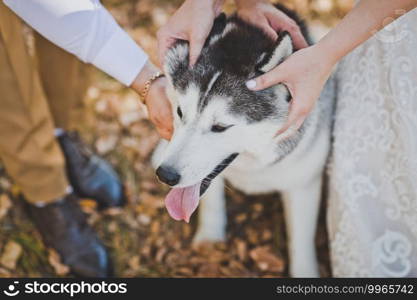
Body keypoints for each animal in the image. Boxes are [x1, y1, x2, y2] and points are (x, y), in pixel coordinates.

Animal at [153, 4, 334, 278]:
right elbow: (211, 203)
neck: (252, 164)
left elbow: (301, 242)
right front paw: (210, 240)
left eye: (220, 127)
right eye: (180, 112)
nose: (166, 175)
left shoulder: (304, 184)